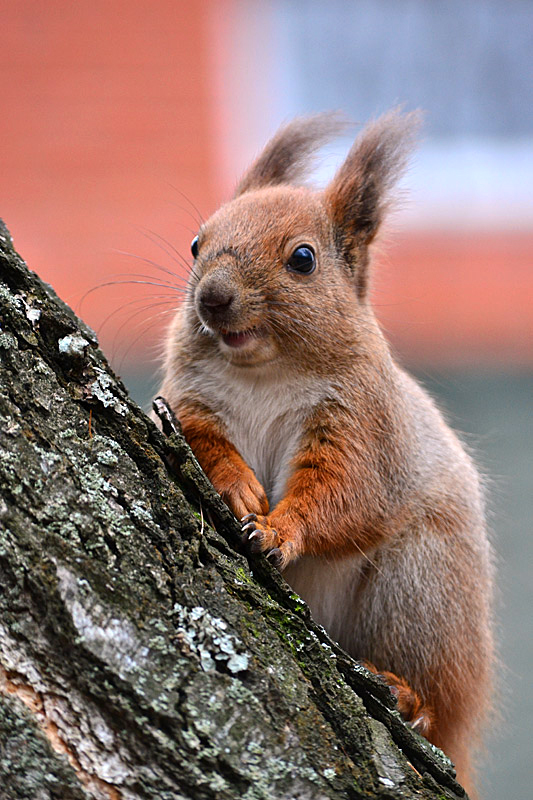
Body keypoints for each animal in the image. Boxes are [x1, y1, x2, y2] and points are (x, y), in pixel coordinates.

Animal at [155, 111, 494, 792]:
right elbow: (206, 441)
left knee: (435, 698)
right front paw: (236, 486)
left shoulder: (361, 426)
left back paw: (408, 696)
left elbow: (343, 494)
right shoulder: (190, 402)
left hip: (423, 587)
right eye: (197, 244)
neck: (264, 373)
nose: (212, 298)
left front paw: (278, 530)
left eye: (303, 259)